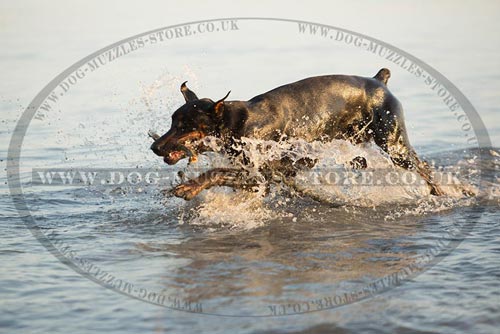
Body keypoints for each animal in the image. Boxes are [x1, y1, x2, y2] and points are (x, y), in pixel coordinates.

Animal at [150, 67, 444, 198]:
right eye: (172, 122)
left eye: (185, 126)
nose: (155, 147)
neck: (235, 124)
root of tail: (379, 80)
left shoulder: (262, 173)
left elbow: (216, 172)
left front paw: (189, 186)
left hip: (393, 143)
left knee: (423, 167)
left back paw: (441, 192)